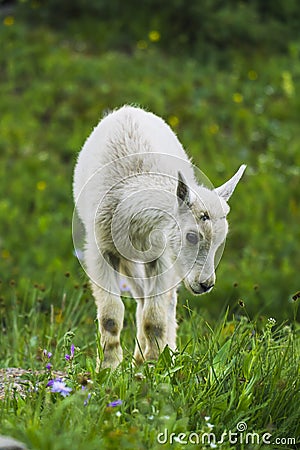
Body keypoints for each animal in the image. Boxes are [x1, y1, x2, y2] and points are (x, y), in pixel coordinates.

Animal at [73, 105, 246, 370]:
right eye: (192, 236)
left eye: (220, 242)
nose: (205, 284)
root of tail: (128, 109)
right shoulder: (102, 249)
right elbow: (111, 315)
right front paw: (109, 368)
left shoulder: (161, 253)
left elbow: (154, 316)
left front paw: (153, 364)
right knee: (141, 297)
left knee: (165, 302)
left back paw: (163, 352)